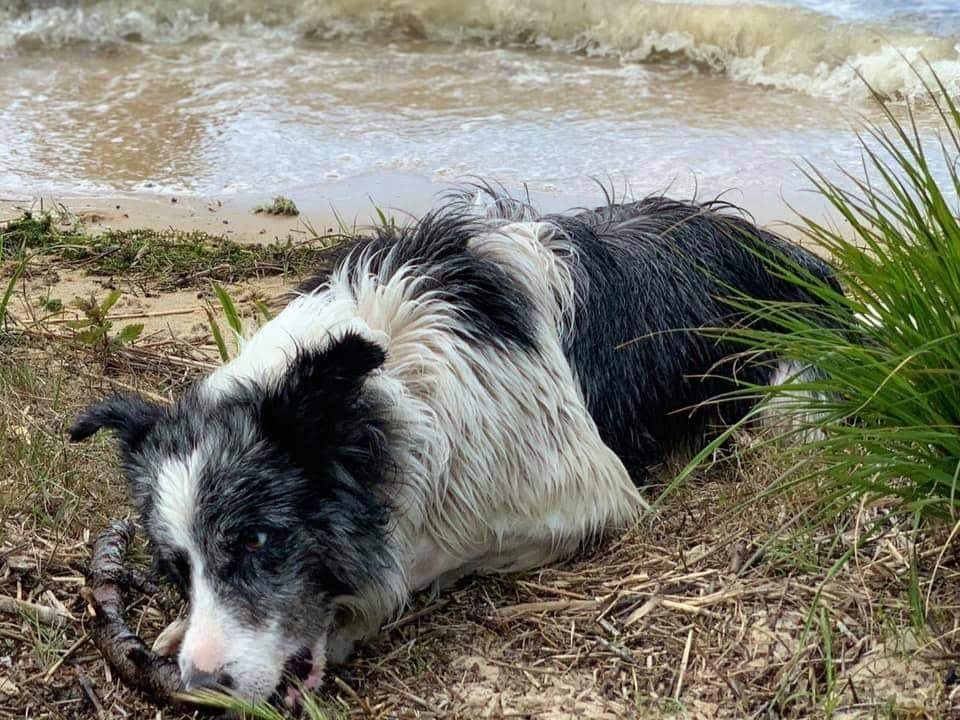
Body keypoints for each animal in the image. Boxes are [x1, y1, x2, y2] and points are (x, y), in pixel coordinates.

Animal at [71, 188, 840, 704]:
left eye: (260, 540)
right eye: (175, 569)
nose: (202, 684)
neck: (397, 378)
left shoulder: (588, 497)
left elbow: (425, 557)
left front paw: (357, 611)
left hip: (788, 396)